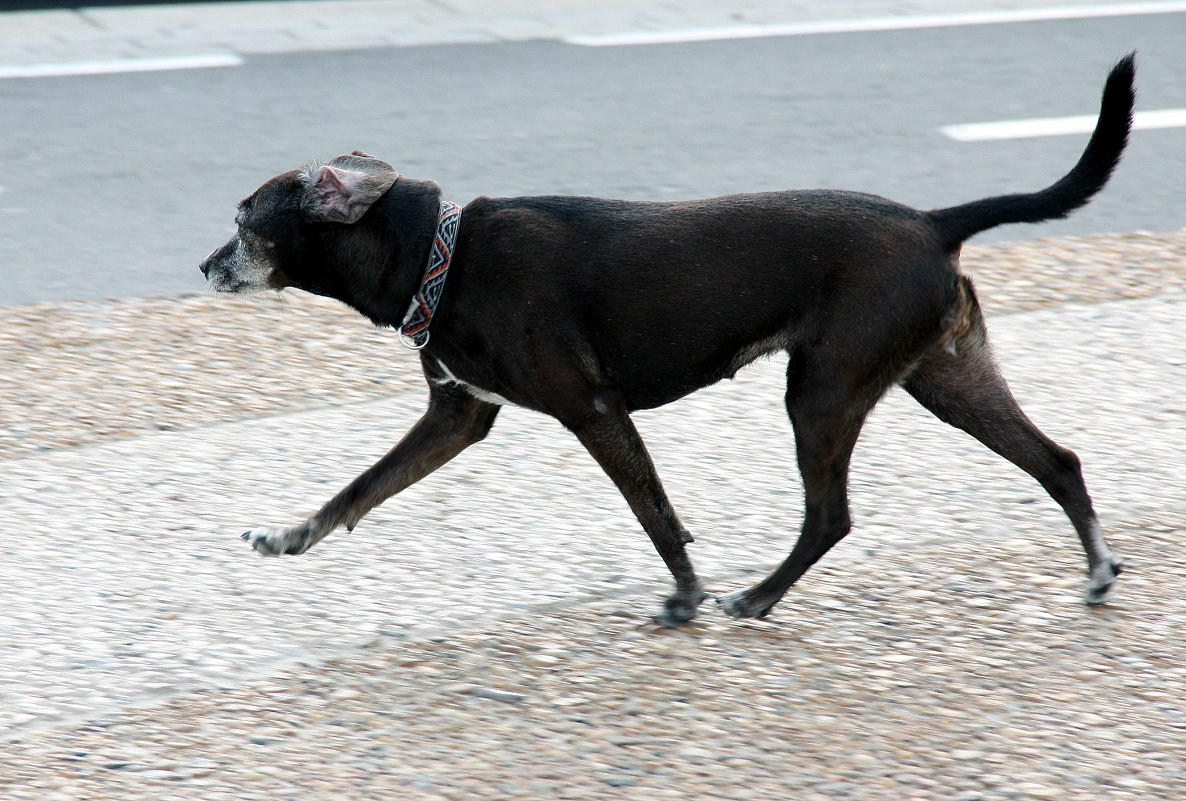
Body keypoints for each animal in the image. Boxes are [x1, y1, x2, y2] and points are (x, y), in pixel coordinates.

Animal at [201, 56, 1129, 621]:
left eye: (245, 222)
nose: (204, 264)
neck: (446, 253)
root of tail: (936, 222)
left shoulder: (593, 410)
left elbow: (655, 515)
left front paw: (685, 597)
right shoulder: (459, 416)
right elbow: (361, 486)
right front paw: (289, 535)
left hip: (822, 391)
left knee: (830, 515)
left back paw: (756, 597)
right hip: (946, 376)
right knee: (1057, 460)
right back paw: (1096, 567)